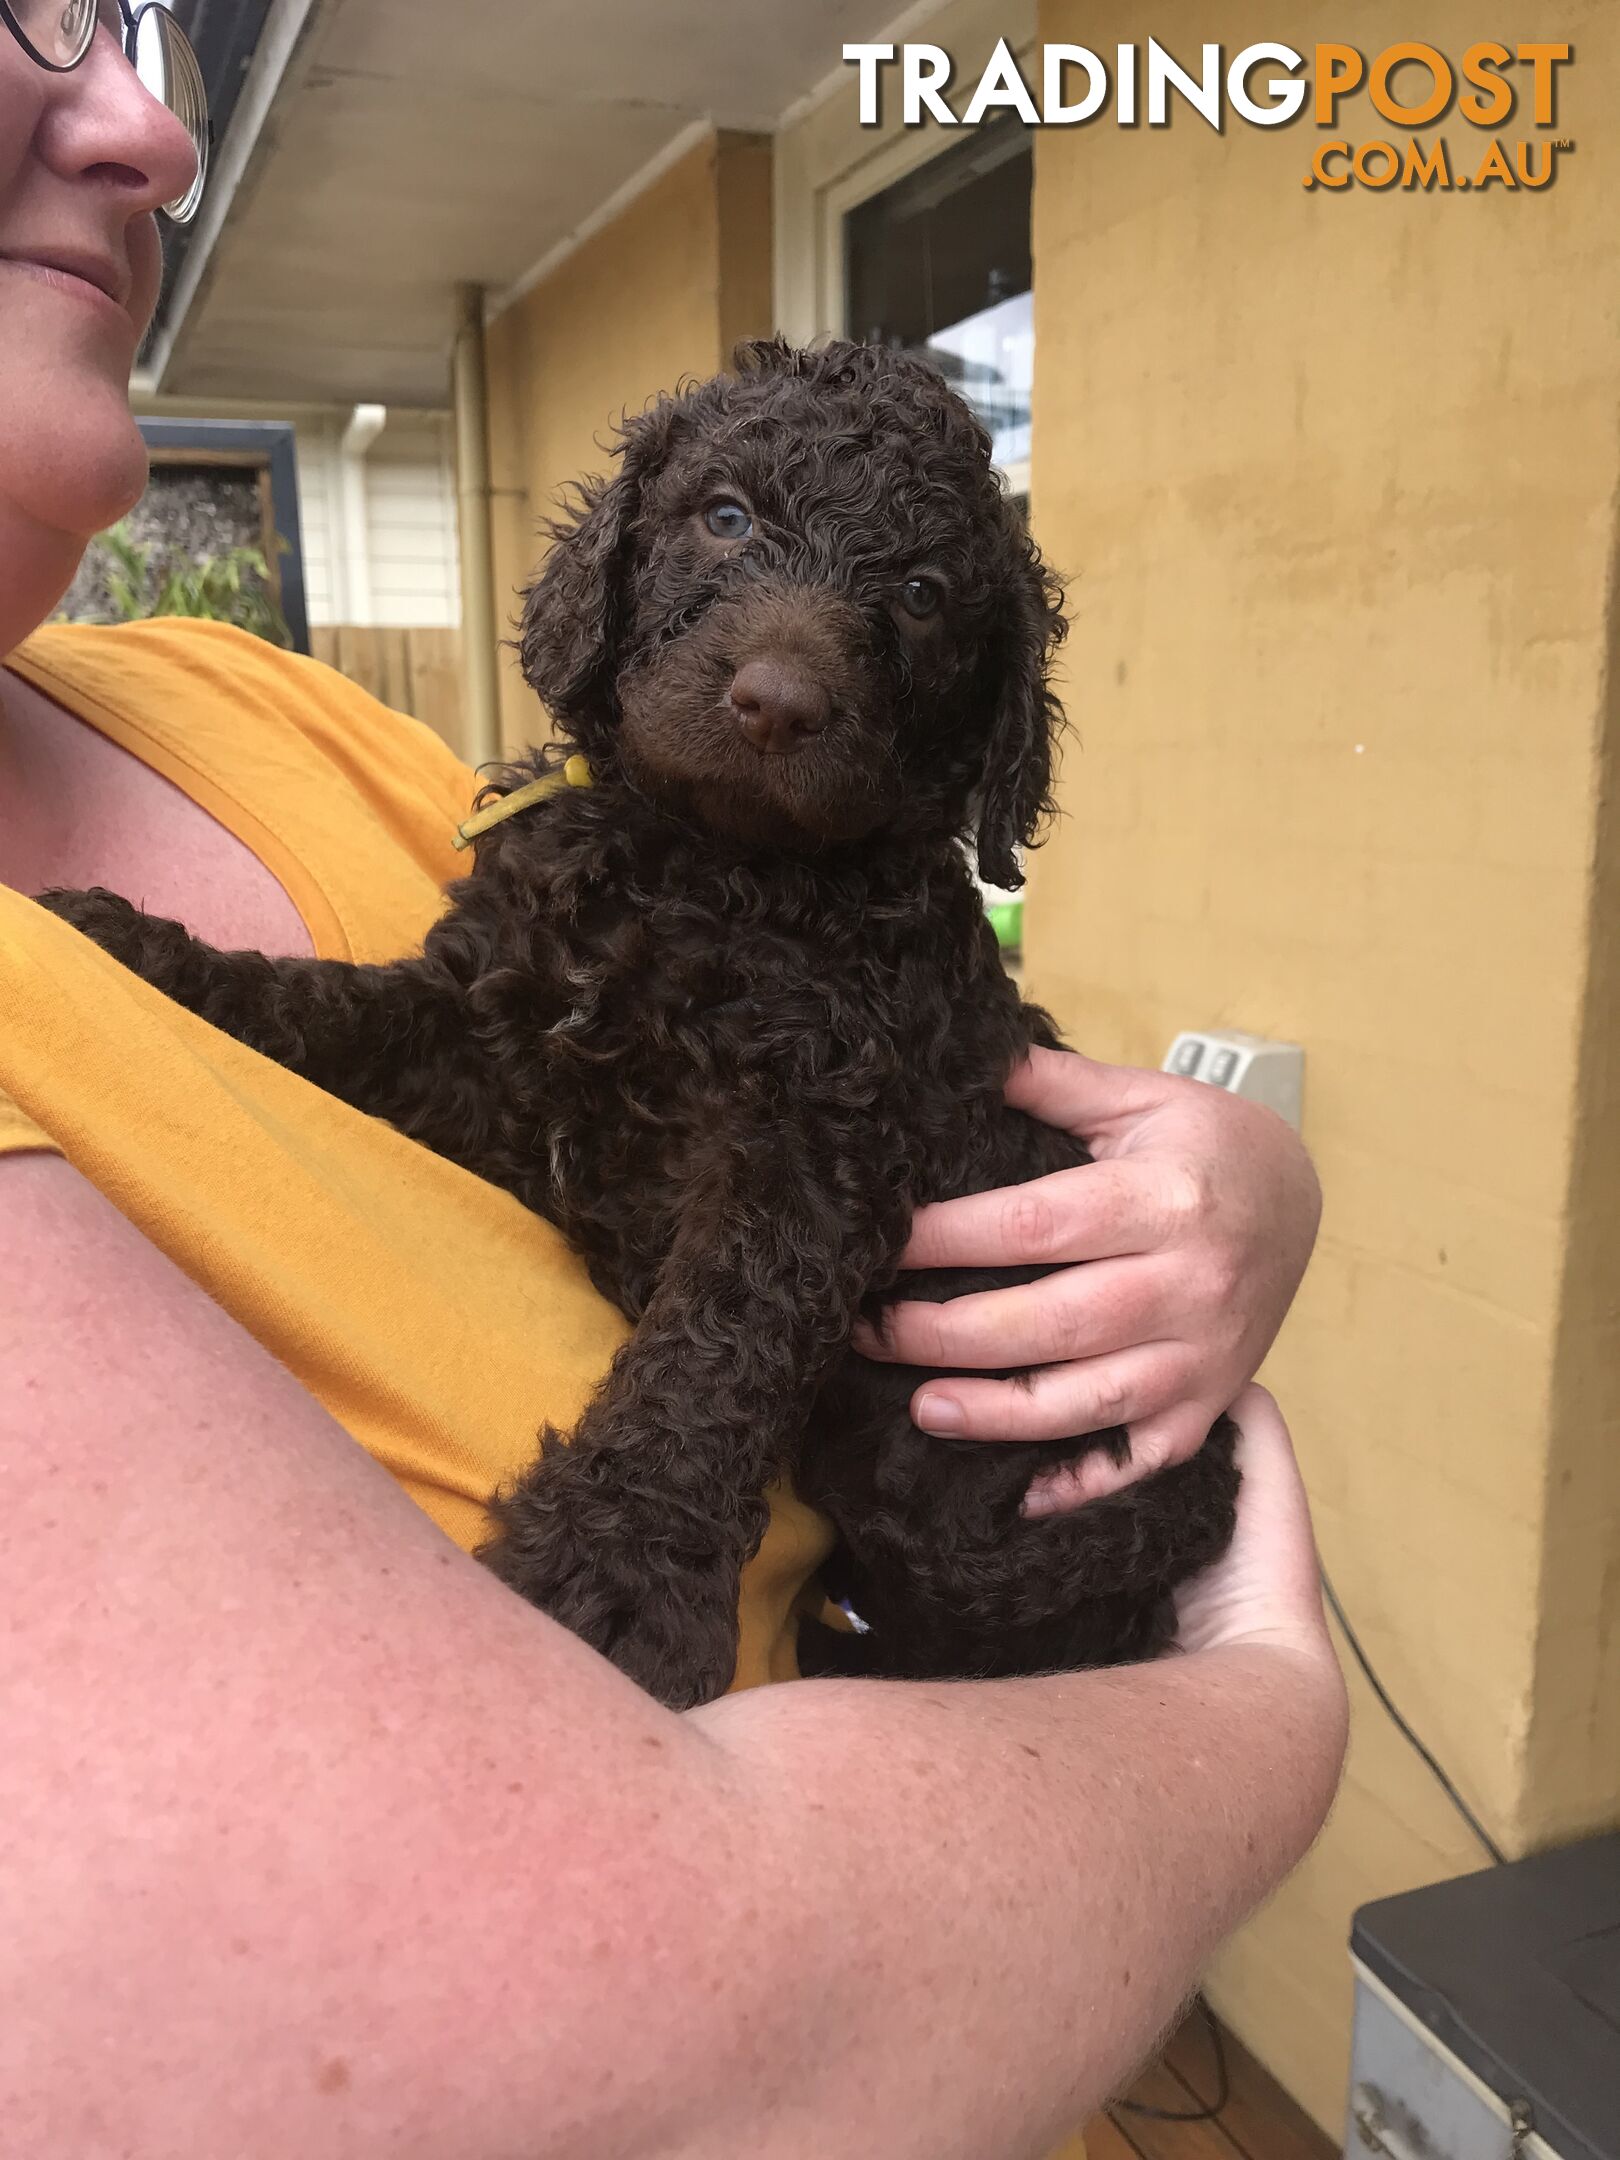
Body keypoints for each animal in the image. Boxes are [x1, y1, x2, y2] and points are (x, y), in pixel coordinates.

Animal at [38, 336, 1235, 1702]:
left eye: (926, 594)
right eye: (725, 518)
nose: (777, 702)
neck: (701, 868)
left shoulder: (808, 1149)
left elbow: (713, 1354)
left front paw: (615, 1572)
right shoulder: (489, 1039)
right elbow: (320, 1008)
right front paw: (129, 945)